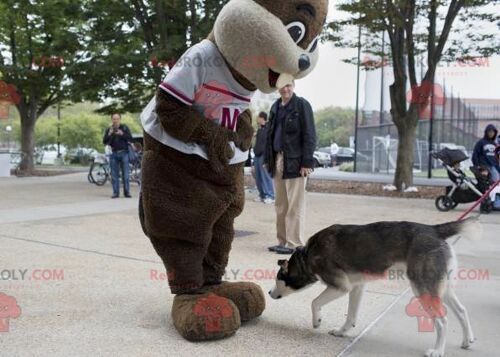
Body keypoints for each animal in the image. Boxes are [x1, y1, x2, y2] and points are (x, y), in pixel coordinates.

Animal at [270, 217, 480, 356]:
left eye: (279, 277)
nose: (269, 292)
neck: (307, 255)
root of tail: (434, 229)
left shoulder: (341, 287)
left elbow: (314, 302)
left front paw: (317, 321)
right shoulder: (357, 287)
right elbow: (351, 316)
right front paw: (342, 332)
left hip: (423, 290)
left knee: (442, 321)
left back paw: (437, 351)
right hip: (442, 289)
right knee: (462, 311)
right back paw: (467, 340)